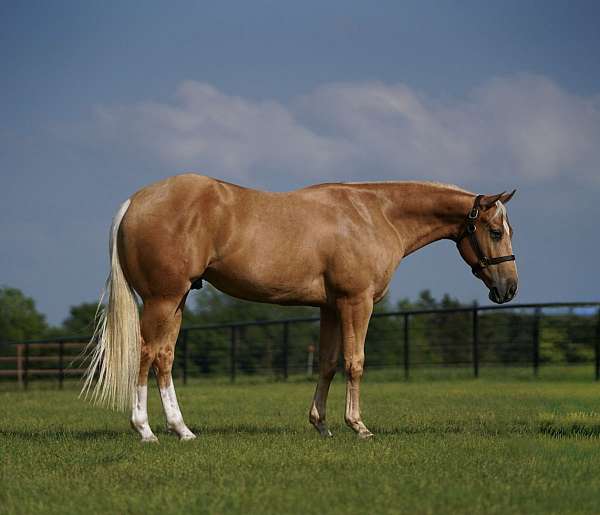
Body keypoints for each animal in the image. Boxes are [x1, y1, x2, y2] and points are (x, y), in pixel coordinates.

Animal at [82, 175, 516, 442]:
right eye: (495, 231)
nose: (509, 288)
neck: (373, 215)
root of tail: (136, 202)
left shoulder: (330, 307)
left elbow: (327, 363)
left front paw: (321, 425)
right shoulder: (356, 302)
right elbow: (355, 362)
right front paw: (358, 426)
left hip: (177, 301)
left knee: (165, 357)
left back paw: (182, 429)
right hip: (162, 300)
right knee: (146, 355)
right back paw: (146, 430)